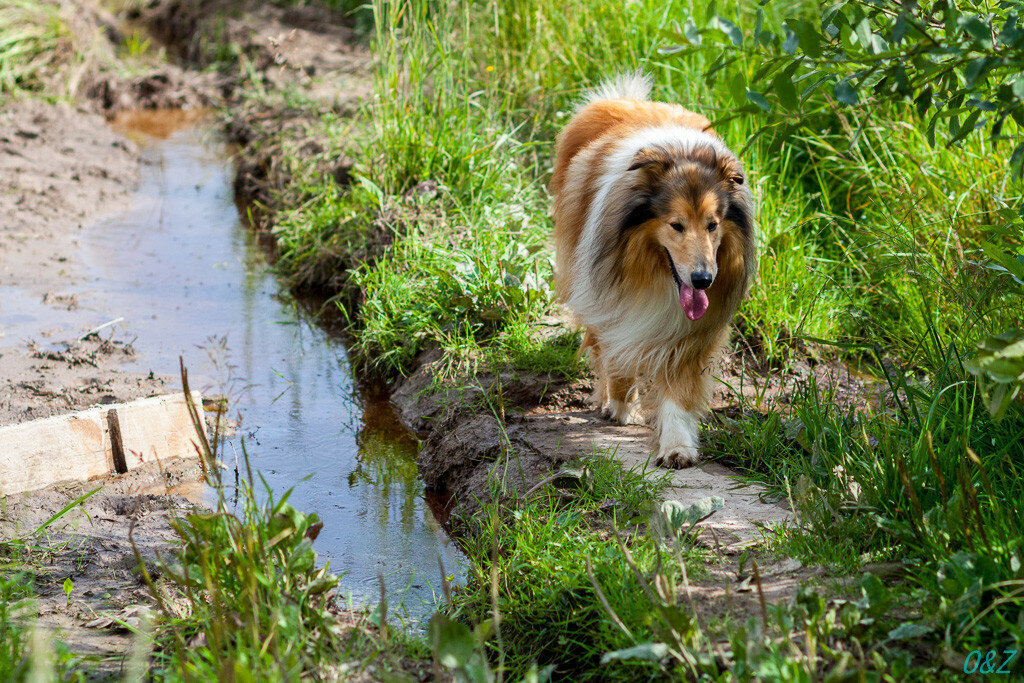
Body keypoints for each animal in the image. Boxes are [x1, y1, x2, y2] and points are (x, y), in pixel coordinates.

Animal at [552, 76, 753, 471]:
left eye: (713, 224)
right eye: (676, 225)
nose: (703, 280)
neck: (655, 272)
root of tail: (624, 99)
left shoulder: (692, 331)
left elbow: (680, 387)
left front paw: (677, 447)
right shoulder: (609, 300)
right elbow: (616, 354)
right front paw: (619, 405)